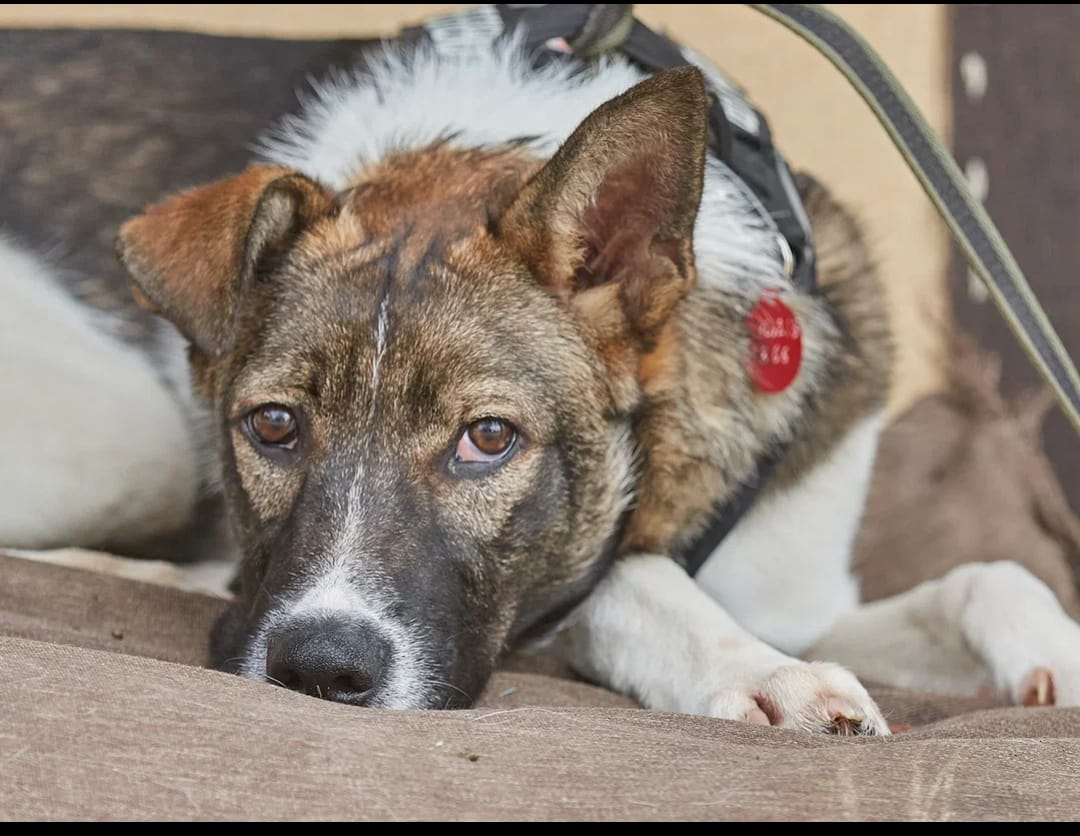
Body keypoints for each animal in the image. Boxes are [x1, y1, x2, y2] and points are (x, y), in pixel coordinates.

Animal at [2, 14, 1080, 734]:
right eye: (272, 425)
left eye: (488, 438)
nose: (319, 671)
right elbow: (628, 580)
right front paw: (759, 671)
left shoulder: (804, 596)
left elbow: (987, 574)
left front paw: (1056, 652)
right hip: (129, 440)